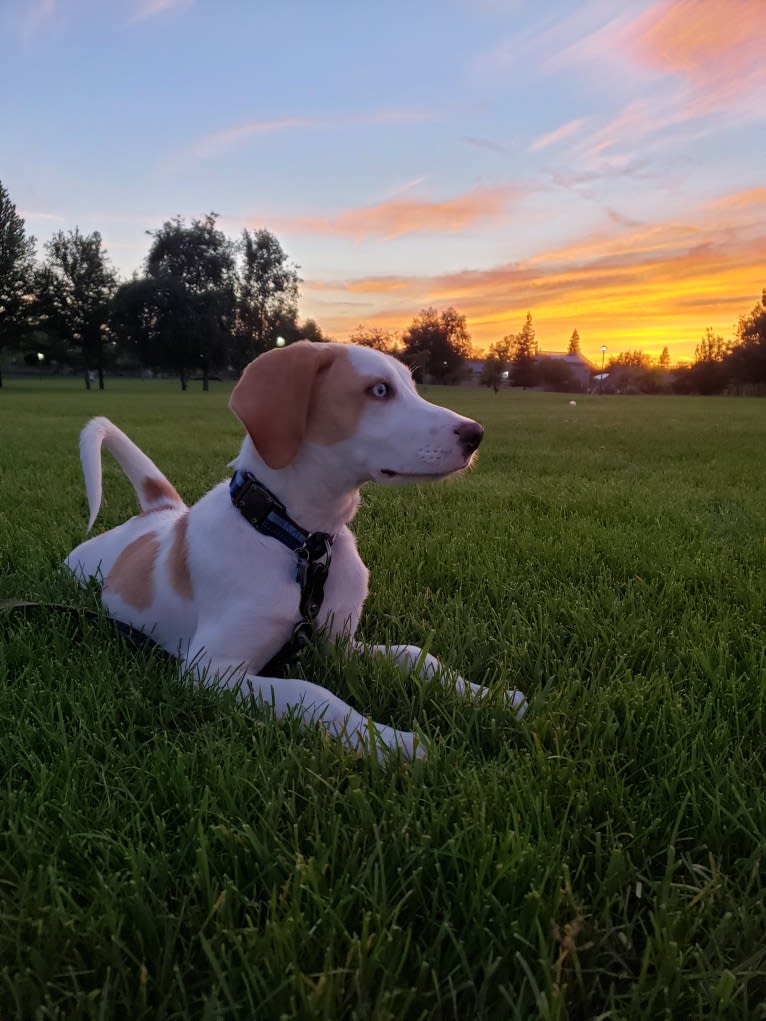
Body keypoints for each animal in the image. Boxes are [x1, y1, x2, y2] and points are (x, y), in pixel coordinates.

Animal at [65, 341, 527, 759]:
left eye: (412, 387)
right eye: (378, 390)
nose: (476, 434)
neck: (300, 543)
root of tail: (160, 511)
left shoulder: (337, 643)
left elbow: (414, 655)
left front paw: (491, 696)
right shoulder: (209, 670)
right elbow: (314, 694)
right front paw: (395, 745)